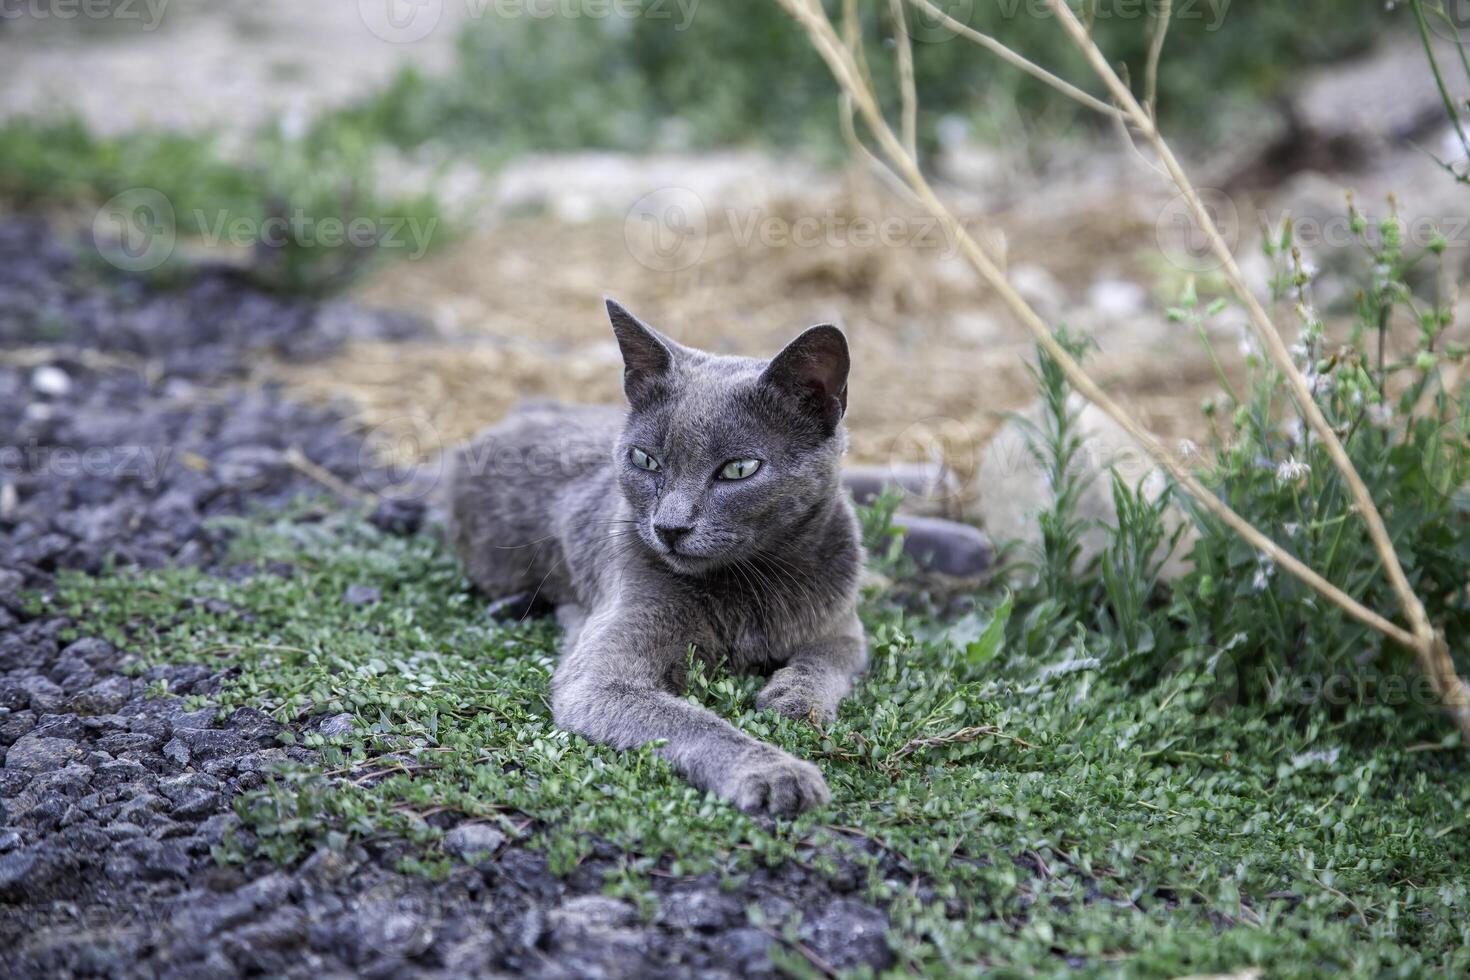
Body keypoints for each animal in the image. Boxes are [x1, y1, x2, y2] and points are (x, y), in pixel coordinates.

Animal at [441, 301, 864, 822]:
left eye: (739, 469)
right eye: (645, 460)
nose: (670, 527)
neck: (751, 584)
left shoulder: (844, 621)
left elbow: (829, 659)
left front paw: (795, 699)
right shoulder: (601, 678)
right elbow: (692, 722)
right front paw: (776, 773)